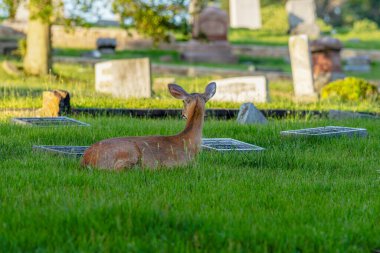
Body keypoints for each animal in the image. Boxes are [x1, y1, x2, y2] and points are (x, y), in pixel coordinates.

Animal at [80, 82, 217, 171]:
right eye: (183, 101)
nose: (182, 114)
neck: (189, 140)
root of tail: (86, 160)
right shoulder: (185, 163)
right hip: (128, 151)